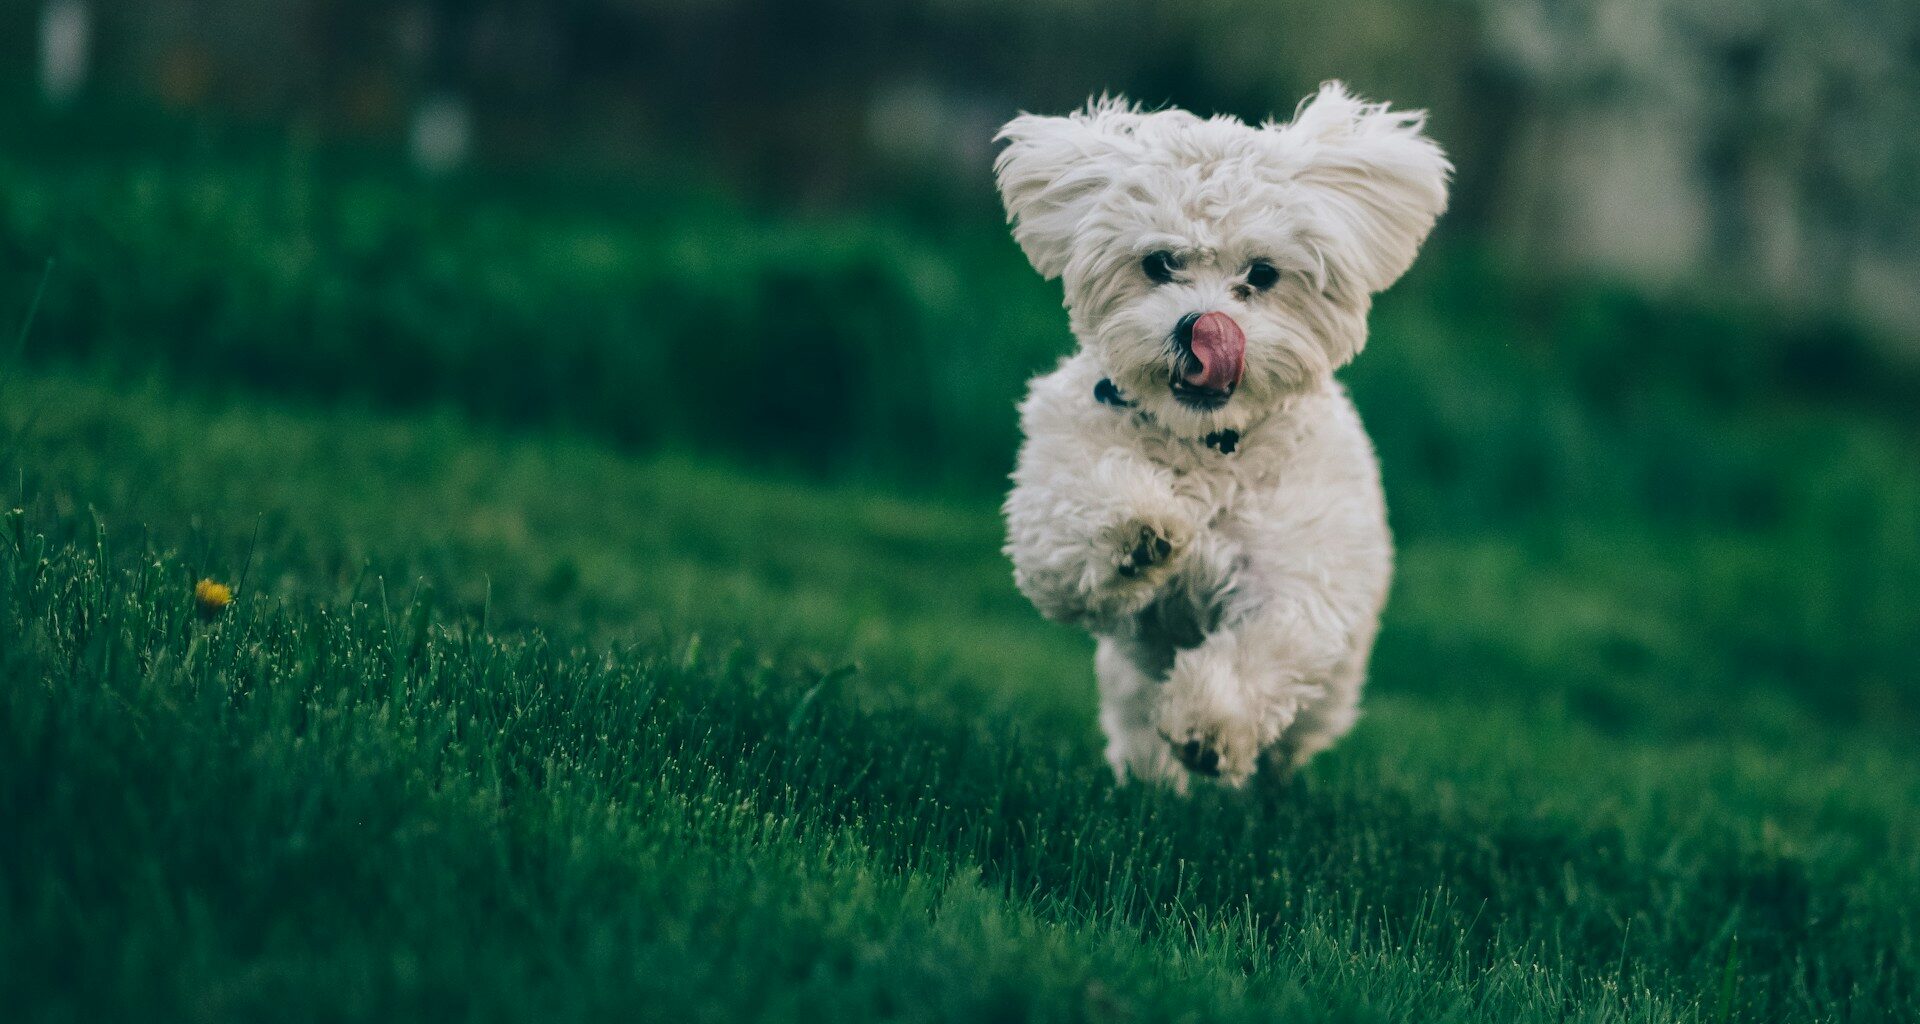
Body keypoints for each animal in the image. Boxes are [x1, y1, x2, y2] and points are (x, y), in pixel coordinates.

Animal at [998, 84, 1443, 787]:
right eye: (1159, 264)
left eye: (1261, 275)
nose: (1201, 327)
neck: (1206, 444)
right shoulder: (1051, 506)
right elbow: (1076, 522)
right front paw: (1141, 530)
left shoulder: (1296, 577)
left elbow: (1261, 650)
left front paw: (1209, 727)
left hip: (1330, 693)